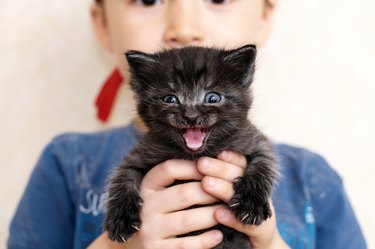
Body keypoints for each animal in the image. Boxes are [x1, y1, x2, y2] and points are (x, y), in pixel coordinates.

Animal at [104, 45, 278, 249]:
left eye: (212, 97)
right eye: (170, 99)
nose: (191, 117)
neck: (195, 155)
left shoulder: (255, 141)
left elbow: (263, 164)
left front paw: (251, 203)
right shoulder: (141, 153)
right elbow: (123, 176)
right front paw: (121, 220)